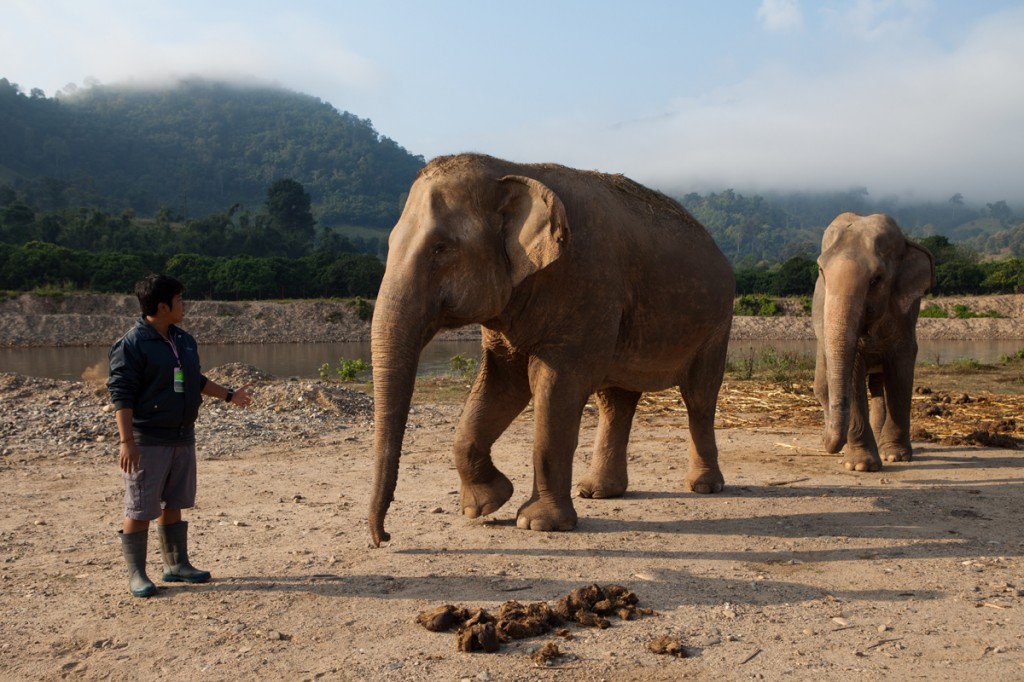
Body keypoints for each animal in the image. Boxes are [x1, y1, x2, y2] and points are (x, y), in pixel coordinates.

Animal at [368, 152, 737, 540]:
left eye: (441, 247)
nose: (384, 537)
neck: (512, 169)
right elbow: (502, 382)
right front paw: (486, 505)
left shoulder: (588, 285)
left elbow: (556, 385)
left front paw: (537, 523)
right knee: (616, 402)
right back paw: (597, 491)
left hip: (718, 322)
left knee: (699, 397)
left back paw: (704, 486)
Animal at [815, 209, 937, 471]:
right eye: (821, 272)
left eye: (876, 280)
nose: (830, 446)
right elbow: (853, 370)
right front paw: (861, 465)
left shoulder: (906, 313)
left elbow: (901, 369)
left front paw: (895, 456)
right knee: (822, 386)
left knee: (879, 388)